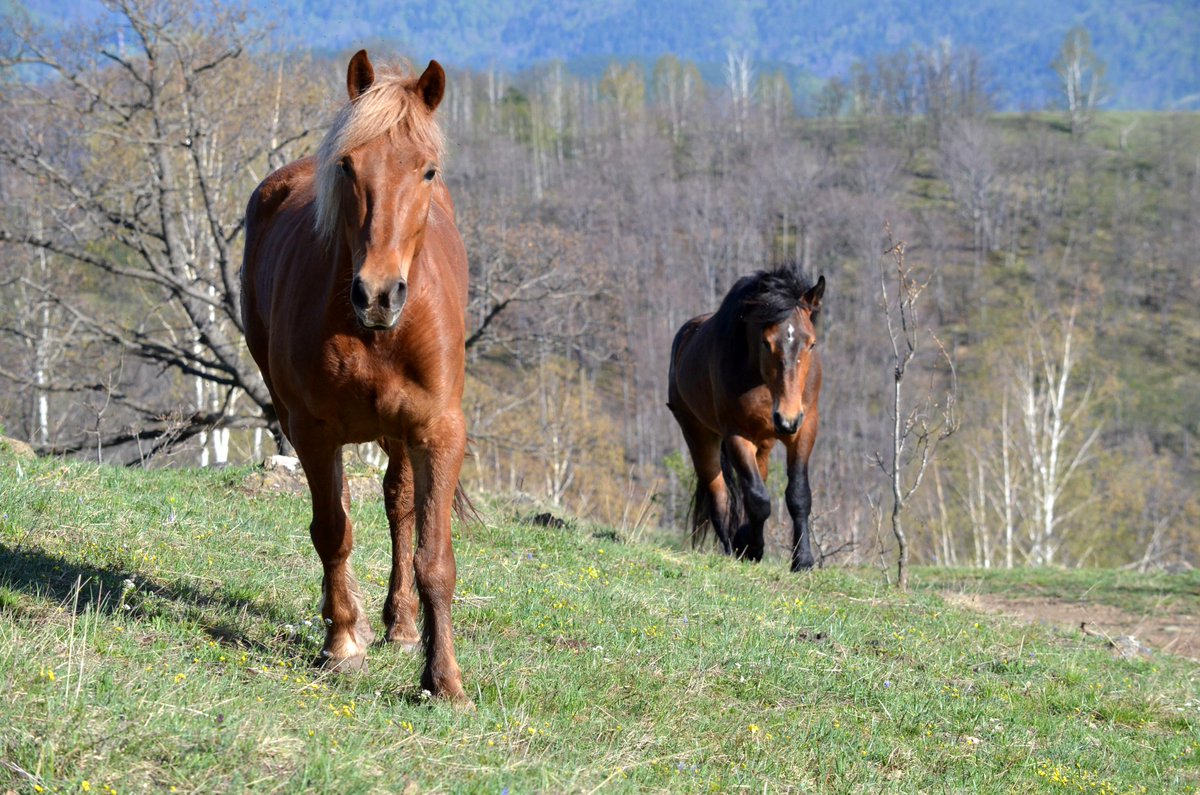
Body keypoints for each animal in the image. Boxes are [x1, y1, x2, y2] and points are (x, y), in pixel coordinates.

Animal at [241, 51, 470, 703]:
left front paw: (444, 680)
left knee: (399, 507)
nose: (378, 294)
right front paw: (342, 643)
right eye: (347, 165)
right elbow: (332, 531)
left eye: (427, 171)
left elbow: (433, 558)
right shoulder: (312, 431)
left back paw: (402, 625)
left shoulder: (437, 431)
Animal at [667, 267, 825, 572]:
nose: (786, 419)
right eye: (767, 342)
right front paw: (752, 547)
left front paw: (802, 561)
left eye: (811, 344)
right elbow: (758, 499)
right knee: (720, 498)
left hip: (764, 443)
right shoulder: (737, 436)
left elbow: (798, 495)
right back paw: (732, 548)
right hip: (699, 436)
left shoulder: (805, 429)